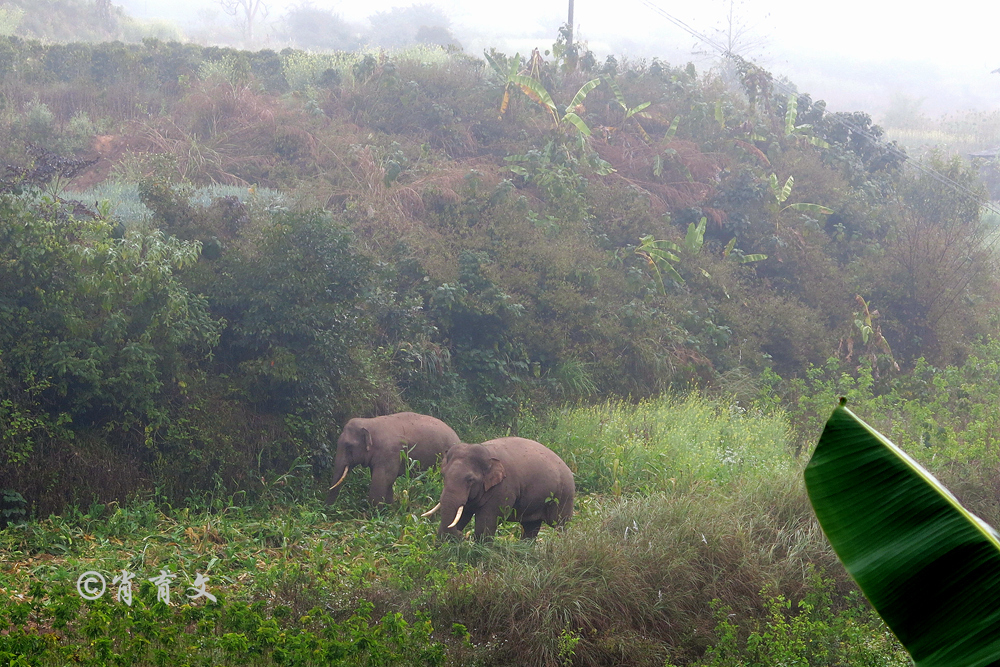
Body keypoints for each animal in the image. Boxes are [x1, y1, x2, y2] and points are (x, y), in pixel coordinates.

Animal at [328, 412, 460, 506]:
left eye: (348, 446)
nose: (329, 508)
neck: (369, 422)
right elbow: (387, 480)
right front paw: (389, 507)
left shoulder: (390, 452)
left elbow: (383, 478)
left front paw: (374, 512)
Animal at [422, 438, 576, 544]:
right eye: (443, 475)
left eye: (470, 480)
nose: (462, 535)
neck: (488, 453)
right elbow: (463, 514)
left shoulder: (503, 489)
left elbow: (486, 522)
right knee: (531, 527)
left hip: (564, 496)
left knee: (560, 525)